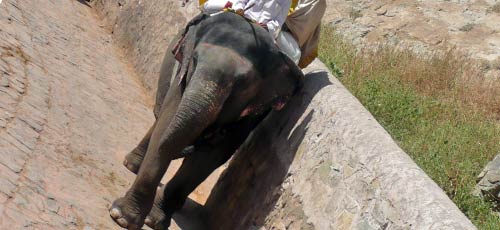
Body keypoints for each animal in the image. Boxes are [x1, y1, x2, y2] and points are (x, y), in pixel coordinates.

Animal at [110, 11, 304, 229]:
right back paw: (132, 165)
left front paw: (154, 220)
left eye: (243, 82)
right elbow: (166, 126)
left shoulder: (252, 113)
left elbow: (211, 156)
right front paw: (122, 217)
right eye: (194, 60)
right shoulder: (182, 76)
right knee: (159, 119)